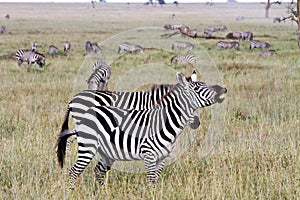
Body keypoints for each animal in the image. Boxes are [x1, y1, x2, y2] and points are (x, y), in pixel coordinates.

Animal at [56, 72, 226, 189]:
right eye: (197, 88)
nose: (223, 89)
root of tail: (73, 99)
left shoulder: (161, 157)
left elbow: (155, 179)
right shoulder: (149, 153)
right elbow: (151, 180)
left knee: (96, 169)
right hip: (85, 138)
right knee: (73, 161)